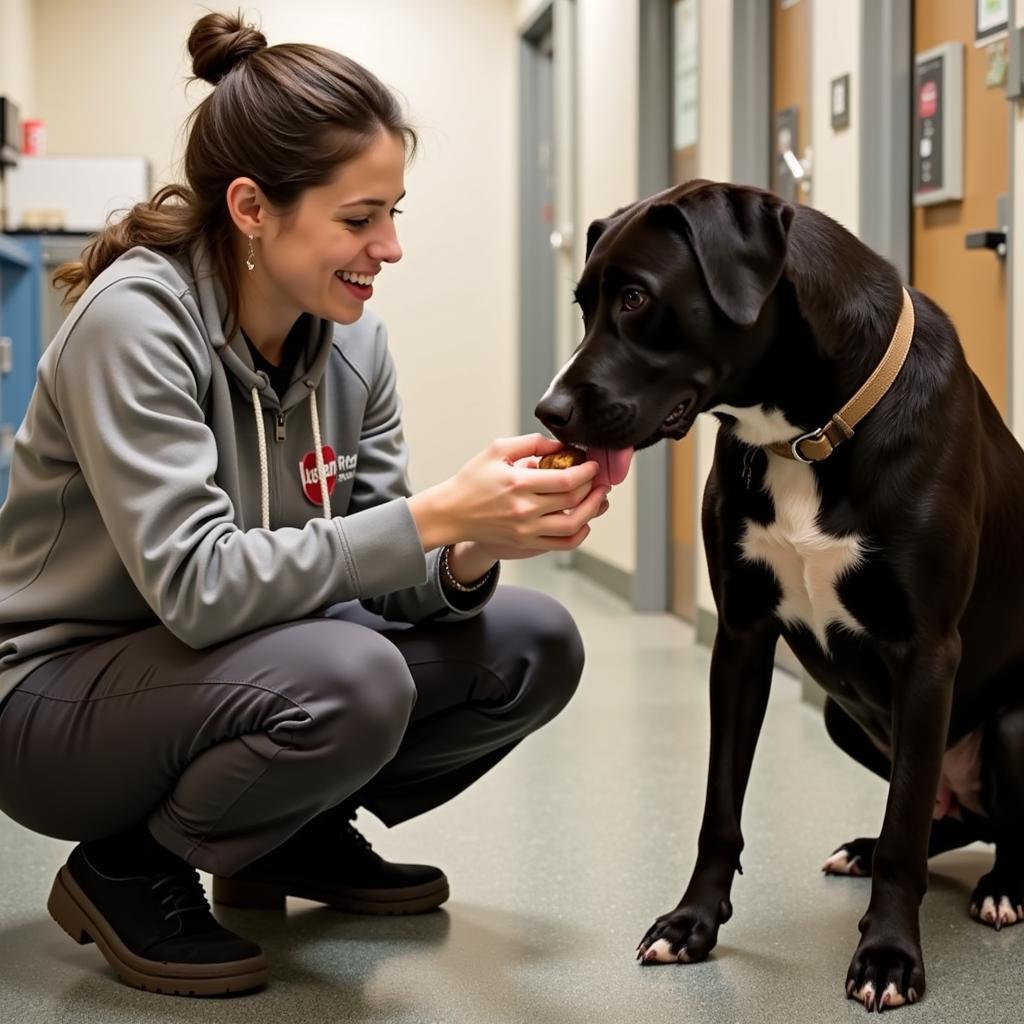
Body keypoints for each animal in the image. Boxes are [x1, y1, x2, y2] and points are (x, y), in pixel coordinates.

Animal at [536, 180, 1024, 1011]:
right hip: (841, 716)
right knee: (944, 814)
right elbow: (720, 807)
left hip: (1011, 719)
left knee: (982, 824)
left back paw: (1002, 886)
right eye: (582, 302)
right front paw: (692, 923)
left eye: (635, 298)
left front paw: (888, 955)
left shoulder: (927, 654)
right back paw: (864, 848)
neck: (809, 433)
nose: (549, 413)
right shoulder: (740, 636)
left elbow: (906, 833)